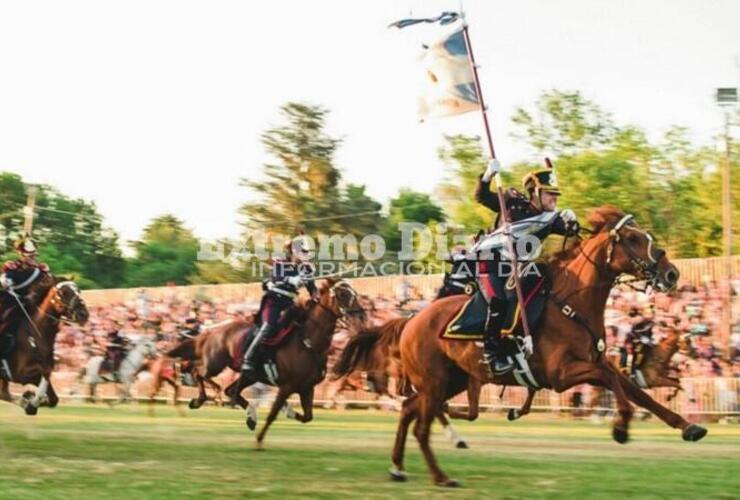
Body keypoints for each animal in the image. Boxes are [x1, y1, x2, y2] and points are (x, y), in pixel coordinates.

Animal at [0, 274, 89, 414]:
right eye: (63, 292)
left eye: (78, 291)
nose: (83, 314)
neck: (35, 336)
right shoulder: (22, 374)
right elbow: (42, 381)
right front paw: (30, 400)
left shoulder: (45, 370)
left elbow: (53, 398)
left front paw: (30, 400)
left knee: (4, 394)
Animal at [382, 206, 704, 484]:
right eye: (634, 239)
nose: (671, 273)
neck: (570, 303)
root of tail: (411, 320)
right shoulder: (561, 375)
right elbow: (616, 386)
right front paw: (621, 428)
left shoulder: (597, 363)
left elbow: (640, 394)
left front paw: (689, 427)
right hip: (436, 382)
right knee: (422, 428)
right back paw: (441, 476)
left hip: (451, 380)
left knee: (409, 409)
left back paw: (398, 467)